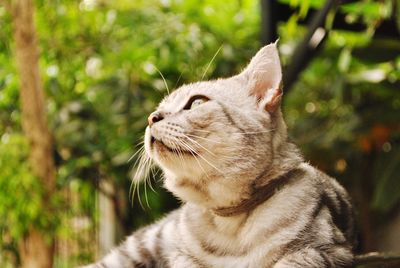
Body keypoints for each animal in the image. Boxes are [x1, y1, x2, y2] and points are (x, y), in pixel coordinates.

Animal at [86, 43, 354, 268]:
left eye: (196, 102)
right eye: (159, 109)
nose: (152, 117)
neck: (229, 223)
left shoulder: (327, 251)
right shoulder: (179, 256)